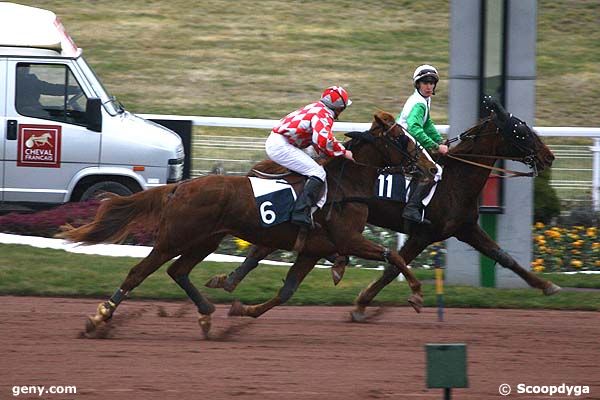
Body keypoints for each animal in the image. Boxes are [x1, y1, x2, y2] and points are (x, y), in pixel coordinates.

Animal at [57, 111, 436, 336]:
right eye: (402, 138)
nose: (430, 167)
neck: (345, 188)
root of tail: (181, 186)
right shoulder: (348, 239)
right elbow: (394, 255)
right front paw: (417, 295)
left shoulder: (313, 249)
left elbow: (287, 292)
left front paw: (243, 308)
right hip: (174, 238)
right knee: (140, 272)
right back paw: (99, 317)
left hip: (205, 240)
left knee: (178, 271)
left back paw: (206, 313)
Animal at [209, 95, 560, 320]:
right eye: (520, 131)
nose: (549, 156)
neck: (455, 178)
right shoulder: (424, 233)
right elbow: (393, 267)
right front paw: (362, 304)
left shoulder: (465, 227)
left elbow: (505, 257)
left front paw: (547, 286)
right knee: (264, 247)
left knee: (263, 247)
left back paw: (232, 280)